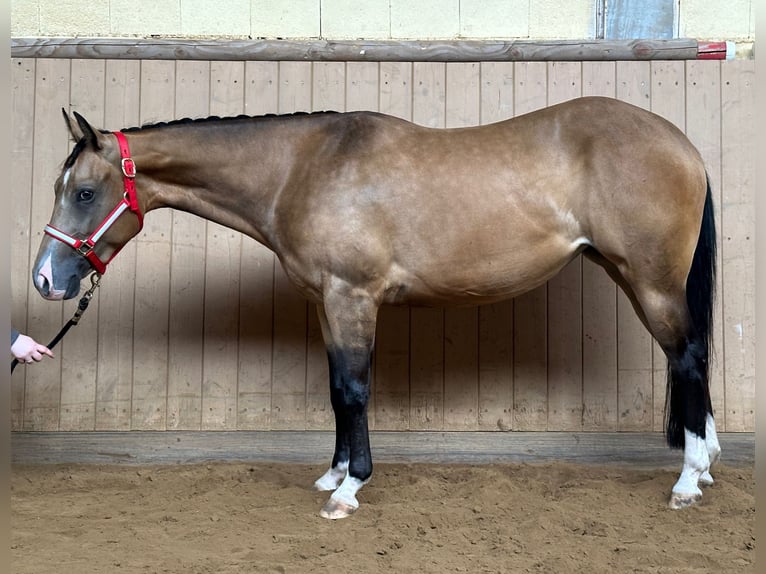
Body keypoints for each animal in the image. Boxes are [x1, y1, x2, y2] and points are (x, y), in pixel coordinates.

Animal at [33, 98, 720, 520]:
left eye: (85, 192)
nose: (45, 278)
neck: (302, 168)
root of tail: (681, 143)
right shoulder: (326, 304)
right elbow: (337, 388)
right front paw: (334, 474)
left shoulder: (352, 296)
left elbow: (356, 390)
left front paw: (350, 489)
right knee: (691, 358)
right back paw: (706, 463)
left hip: (651, 281)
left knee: (686, 356)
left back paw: (688, 480)